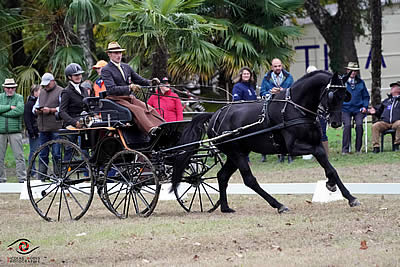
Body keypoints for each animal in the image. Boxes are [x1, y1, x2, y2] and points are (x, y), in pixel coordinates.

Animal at [170, 70, 360, 214]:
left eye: (344, 95)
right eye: (332, 95)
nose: (336, 123)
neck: (295, 108)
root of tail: (215, 115)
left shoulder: (316, 143)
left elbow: (330, 166)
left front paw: (346, 194)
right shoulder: (294, 147)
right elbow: (320, 154)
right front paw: (332, 186)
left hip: (237, 152)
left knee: (222, 176)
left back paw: (225, 207)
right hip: (236, 153)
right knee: (249, 180)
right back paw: (279, 205)